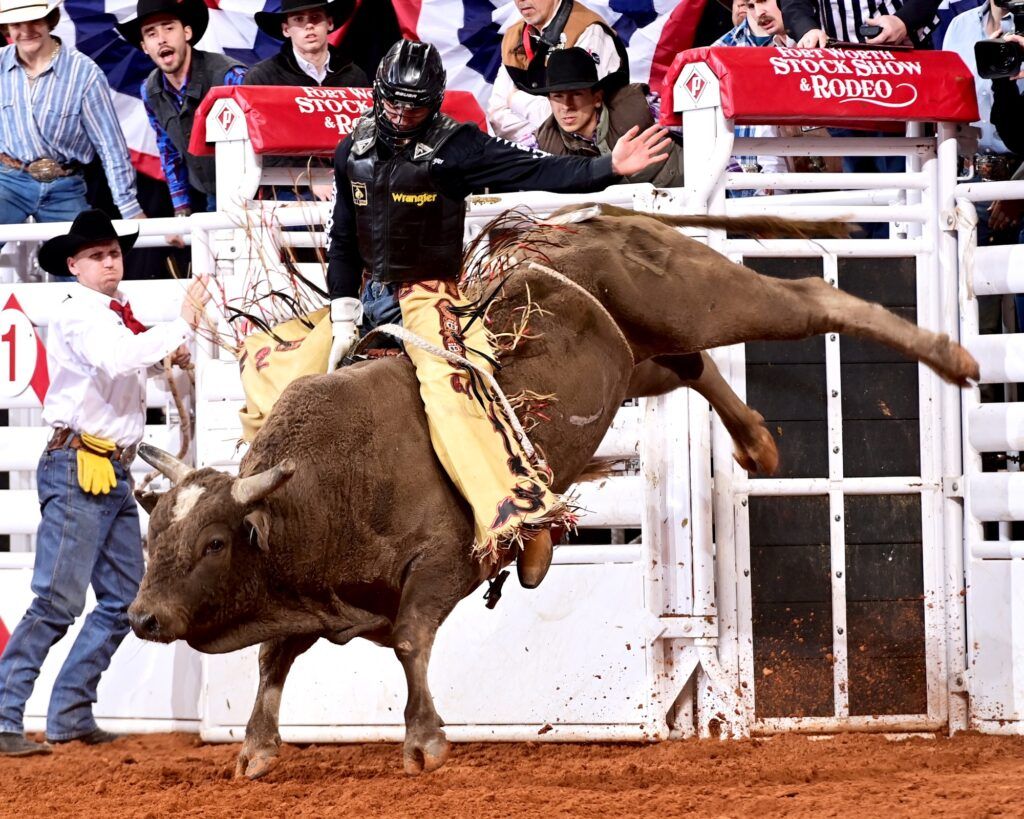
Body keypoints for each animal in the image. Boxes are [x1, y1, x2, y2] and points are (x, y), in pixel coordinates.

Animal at [129, 206, 978, 779]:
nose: (142, 616)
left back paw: (955, 357)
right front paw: (256, 748)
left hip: (685, 293)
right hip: (636, 356)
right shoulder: (313, 594)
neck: (315, 493)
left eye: (211, 541)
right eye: (152, 537)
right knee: (695, 363)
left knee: (799, 299)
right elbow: (274, 658)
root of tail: (579, 225)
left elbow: (408, 640)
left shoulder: (442, 565)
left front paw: (425, 739)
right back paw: (757, 441)